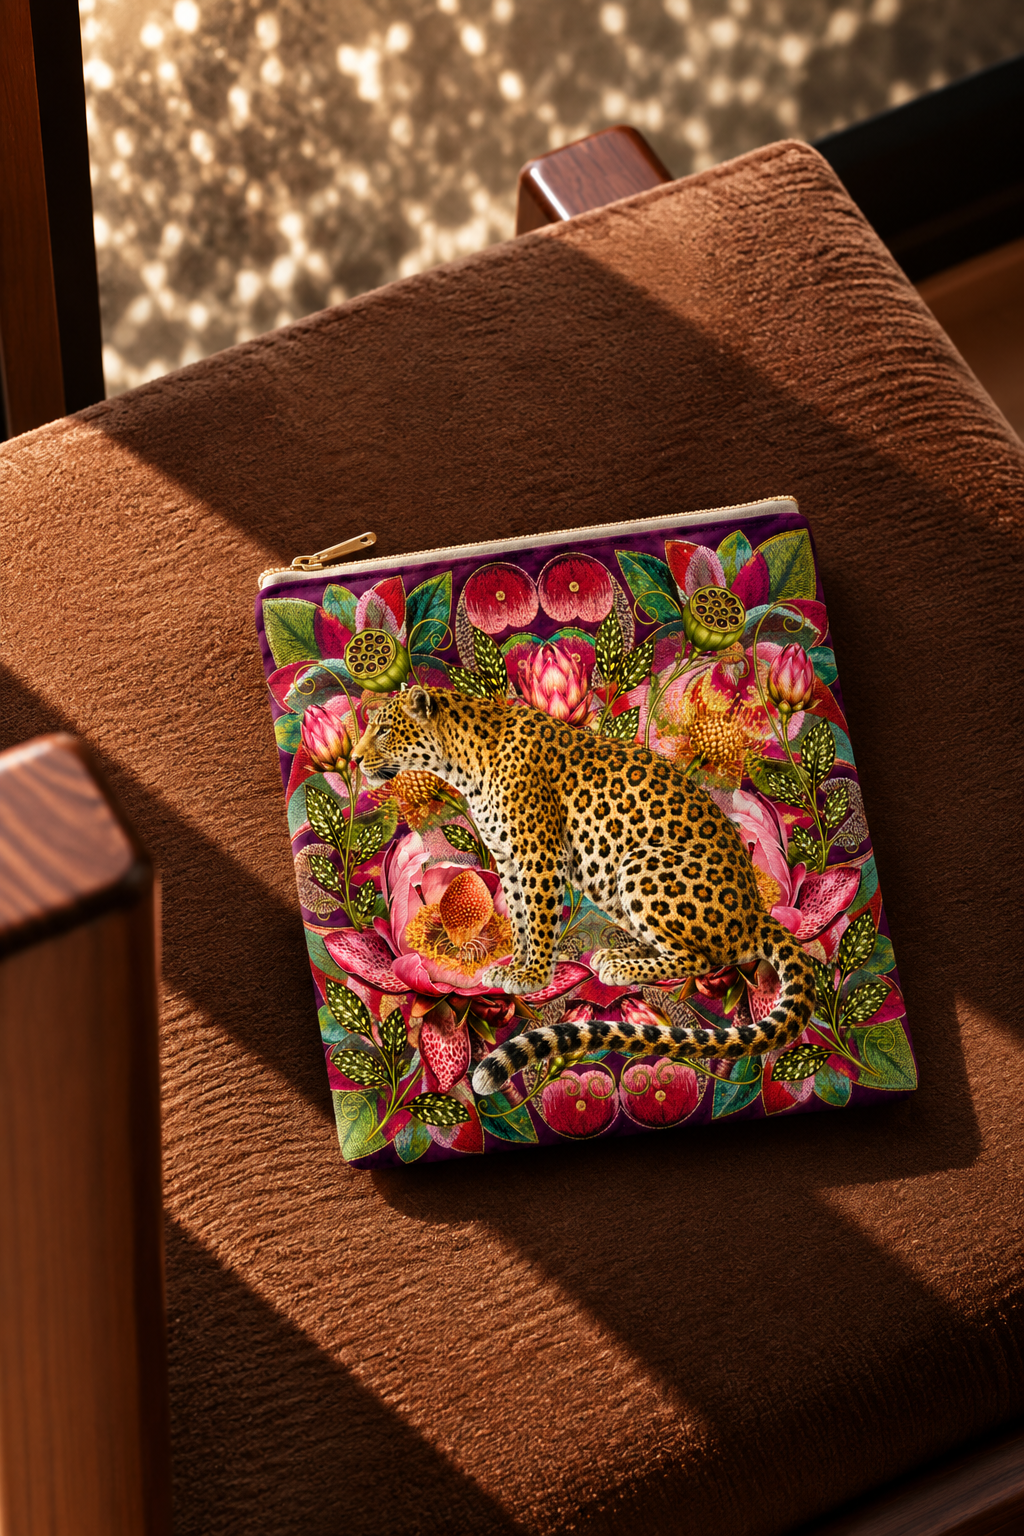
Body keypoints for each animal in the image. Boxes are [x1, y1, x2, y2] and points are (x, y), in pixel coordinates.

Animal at [350, 686, 816, 1097]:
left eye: (385, 730)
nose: (354, 759)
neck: (465, 762)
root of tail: (756, 913)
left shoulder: (539, 851)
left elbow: (538, 918)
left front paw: (532, 975)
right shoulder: (508, 858)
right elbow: (519, 916)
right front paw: (514, 968)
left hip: (639, 864)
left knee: (701, 958)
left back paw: (623, 967)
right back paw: (616, 956)